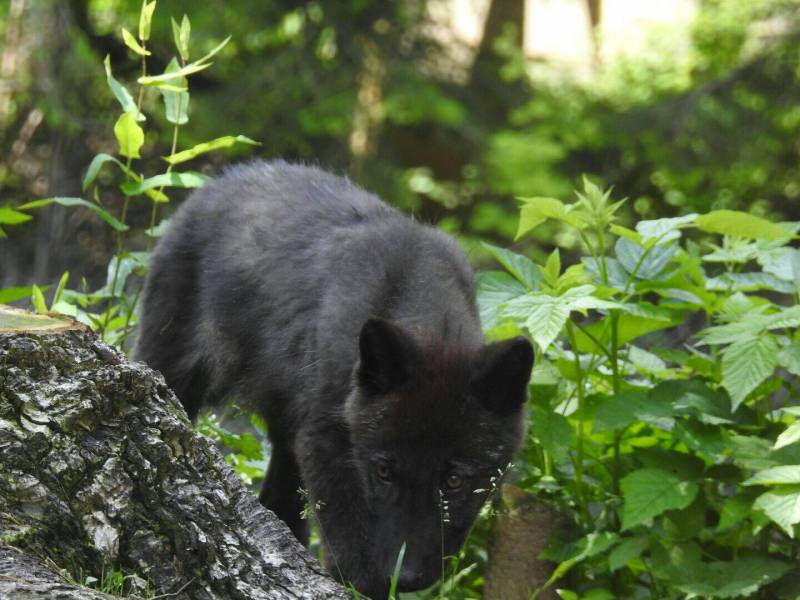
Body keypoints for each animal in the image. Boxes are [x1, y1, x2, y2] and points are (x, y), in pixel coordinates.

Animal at [134, 162, 536, 596]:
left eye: (455, 481)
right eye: (383, 472)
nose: (405, 576)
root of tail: (219, 181)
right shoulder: (326, 437)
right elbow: (350, 544)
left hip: (286, 426)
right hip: (172, 374)